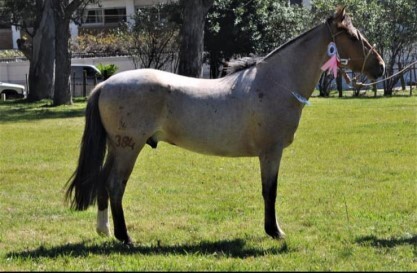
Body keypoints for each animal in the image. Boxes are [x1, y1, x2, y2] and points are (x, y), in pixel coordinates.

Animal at [64, 6, 384, 244]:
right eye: (352, 36)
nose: (380, 66)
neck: (276, 81)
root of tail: (105, 83)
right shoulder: (271, 152)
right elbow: (270, 191)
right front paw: (274, 231)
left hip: (117, 147)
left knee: (103, 184)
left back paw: (104, 230)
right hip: (128, 148)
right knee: (115, 185)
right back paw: (125, 236)